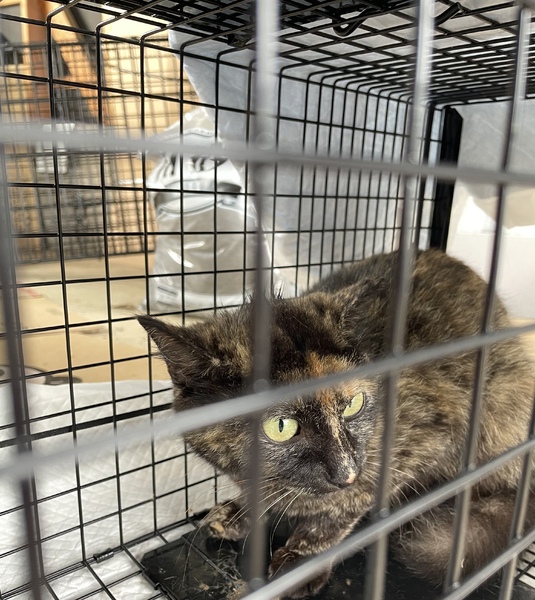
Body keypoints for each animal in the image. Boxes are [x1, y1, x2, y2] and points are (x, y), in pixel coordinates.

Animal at [138, 249, 535, 597]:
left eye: (354, 405)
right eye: (281, 426)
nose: (346, 472)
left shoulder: (427, 438)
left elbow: (346, 505)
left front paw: (304, 557)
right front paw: (242, 512)